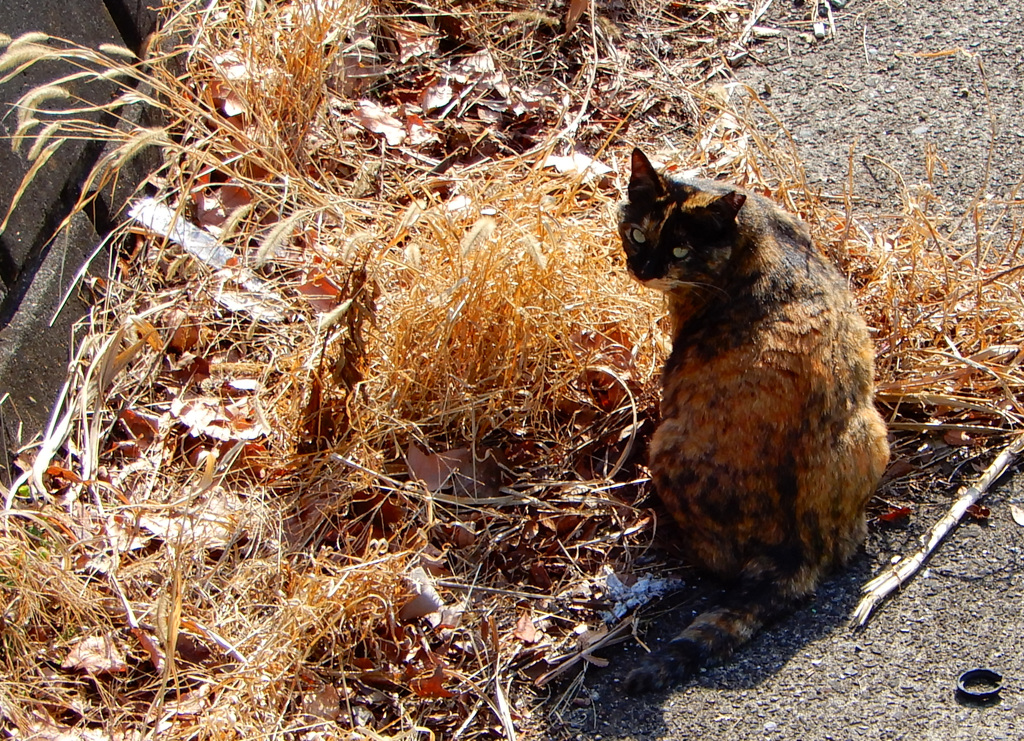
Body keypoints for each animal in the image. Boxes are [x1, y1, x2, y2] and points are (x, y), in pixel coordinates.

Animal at [614, 147, 888, 691]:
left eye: (681, 252)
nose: (644, 268)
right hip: (872, 428)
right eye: (637, 233)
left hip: (667, 446)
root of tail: (797, 552)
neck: (753, 234)